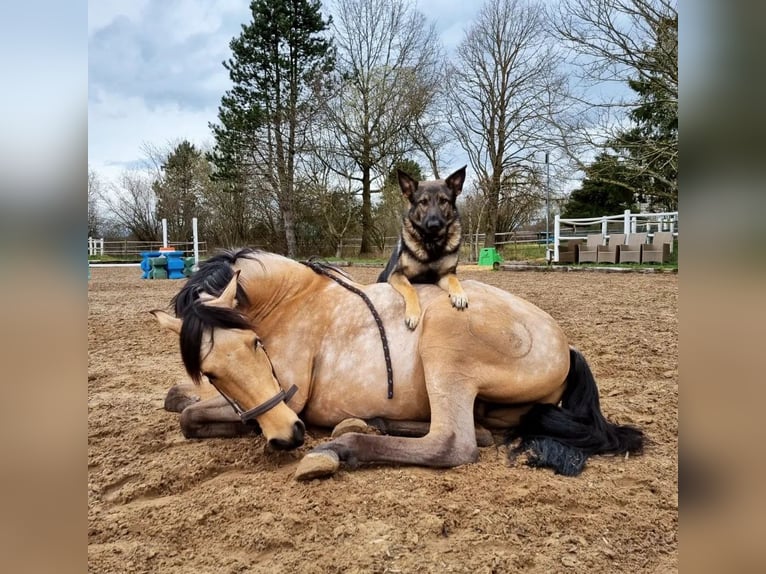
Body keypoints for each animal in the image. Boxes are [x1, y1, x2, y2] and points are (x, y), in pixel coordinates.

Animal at [153, 250, 644, 480]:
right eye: (211, 371)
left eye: (255, 344)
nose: (286, 437)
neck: (288, 302)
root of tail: (564, 346)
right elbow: (183, 402)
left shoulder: (287, 396)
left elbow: (191, 416)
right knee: (477, 431)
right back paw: (369, 422)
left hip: (444, 345)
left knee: (453, 442)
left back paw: (341, 446)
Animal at [378, 164, 468, 330]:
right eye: (423, 202)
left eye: (443, 201)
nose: (434, 225)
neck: (431, 244)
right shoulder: (397, 274)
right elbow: (411, 288)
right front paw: (413, 314)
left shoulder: (444, 275)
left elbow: (454, 279)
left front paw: (459, 295)